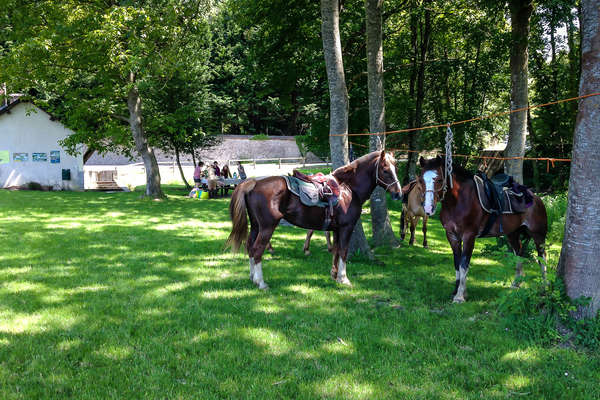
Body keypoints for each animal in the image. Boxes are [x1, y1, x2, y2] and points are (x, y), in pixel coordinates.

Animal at [226, 150, 404, 288]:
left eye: (395, 168)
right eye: (385, 170)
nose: (398, 194)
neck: (348, 189)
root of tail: (254, 183)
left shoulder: (337, 229)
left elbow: (336, 250)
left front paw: (334, 275)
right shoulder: (346, 227)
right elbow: (344, 251)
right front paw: (344, 279)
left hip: (256, 226)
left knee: (250, 247)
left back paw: (252, 278)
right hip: (267, 227)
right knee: (257, 250)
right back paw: (261, 282)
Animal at [418, 156, 548, 304]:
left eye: (439, 179)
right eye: (420, 180)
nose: (428, 208)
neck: (457, 201)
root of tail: (536, 198)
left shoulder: (469, 236)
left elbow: (464, 264)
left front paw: (460, 296)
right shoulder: (452, 236)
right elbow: (457, 263)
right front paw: (457, 292)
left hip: (538, 235)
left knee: (542, 258)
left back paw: (544, 288)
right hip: (512, 234)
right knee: (518, 253)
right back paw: (516, 283)